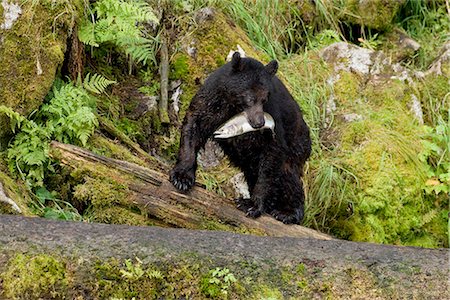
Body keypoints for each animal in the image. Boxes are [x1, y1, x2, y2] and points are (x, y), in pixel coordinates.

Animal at [171, 51, 312, 224]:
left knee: (288, 174)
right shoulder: (212, 100)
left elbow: (273, 153)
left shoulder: (274, 118)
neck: (234, 106)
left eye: (265, 98)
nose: (259, 122)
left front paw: (251, 204)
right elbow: (194, 125)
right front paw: (182, 177)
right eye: (249, 98)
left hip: (297, 144)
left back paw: (287, 212)